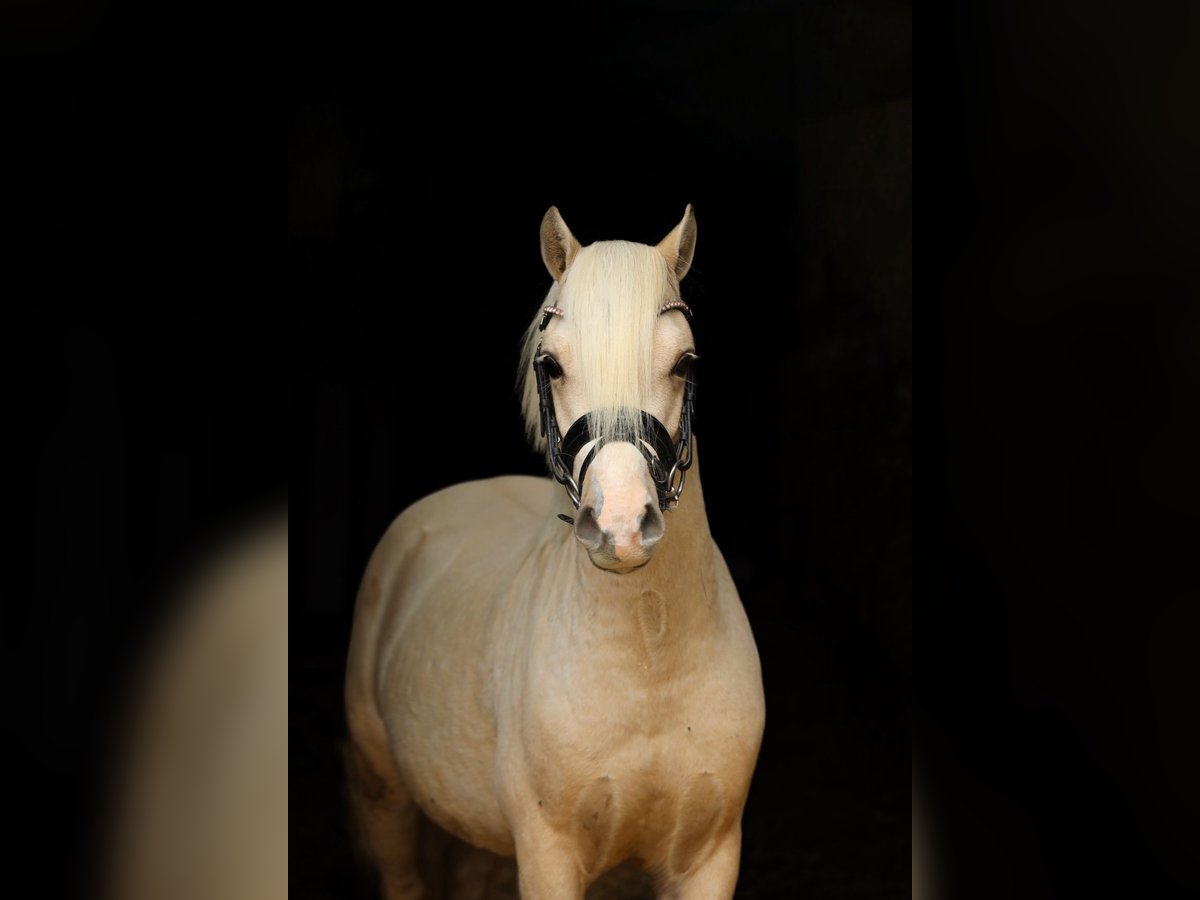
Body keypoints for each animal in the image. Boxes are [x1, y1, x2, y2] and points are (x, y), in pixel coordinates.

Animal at [344, 206, 765, 899]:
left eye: (683, 362)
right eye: (553, 365)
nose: (621, 526)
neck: (649, 663)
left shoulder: (711, 857)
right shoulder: (549, 856)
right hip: (386, 799)